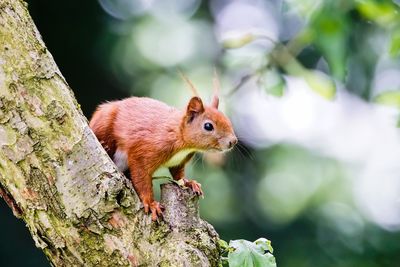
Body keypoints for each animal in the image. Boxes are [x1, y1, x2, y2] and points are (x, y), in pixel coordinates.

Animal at [89, 80, 236, 222]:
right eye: (208, 126)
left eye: (228, 120)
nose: (233, 141)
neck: (182, 141)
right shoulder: (145, 151)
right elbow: (142, 177)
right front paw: (151, 204)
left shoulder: (179, 161)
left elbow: (178, 175)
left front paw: (189, 183)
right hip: (104, 120)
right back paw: (104, 145)